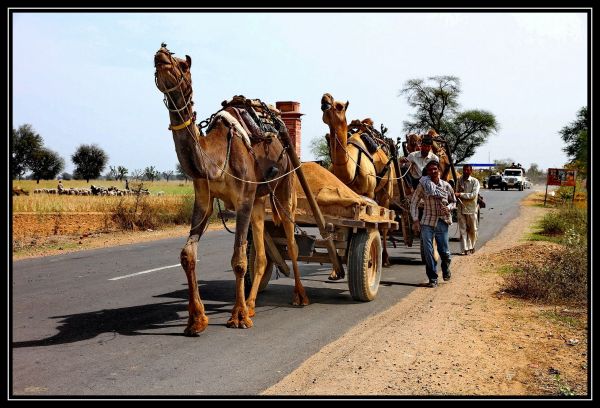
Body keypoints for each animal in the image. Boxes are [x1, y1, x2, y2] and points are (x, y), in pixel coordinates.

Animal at [154, 44, 310, 334]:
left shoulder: (243, 200)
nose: (161, 53)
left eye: (184, 65)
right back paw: (252, 305)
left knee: (292, 242)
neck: (214, 158)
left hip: (285, 185)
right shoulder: (204, 200)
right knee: (262, 255)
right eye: (161, 57)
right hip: (259, 200)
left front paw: (237, 317)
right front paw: (196, 320)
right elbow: (187, 254)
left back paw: (300, 296)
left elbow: (238, 259)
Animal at [322, 93, 396, 270]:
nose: (325, 97)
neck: (349, 172)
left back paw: (386, 259)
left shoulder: (368, 193)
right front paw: (335, 270)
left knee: (384, 222)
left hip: (386, 189)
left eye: (340, 106)